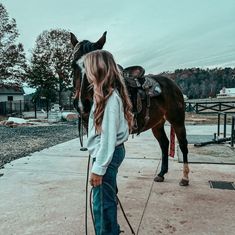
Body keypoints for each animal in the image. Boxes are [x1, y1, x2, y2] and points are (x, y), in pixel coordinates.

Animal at [70, 31, 189, 186]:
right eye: (73, 65)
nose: (82, 104)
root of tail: (173, 84)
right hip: (157, 124)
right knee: (164, 144)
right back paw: (161, 174)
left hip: (177, 120)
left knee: (183, 144)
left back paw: (185, 178)